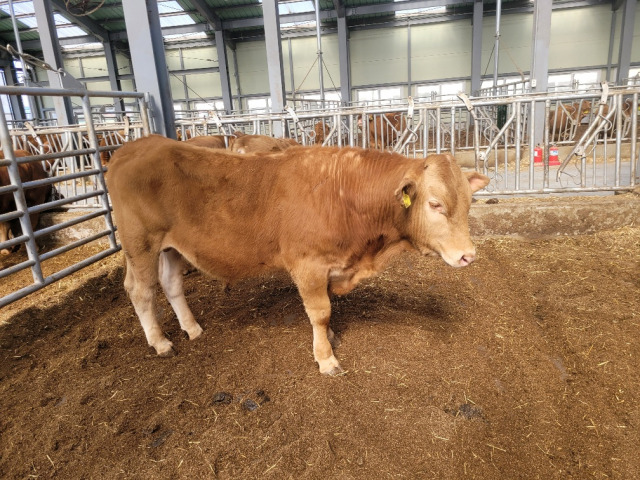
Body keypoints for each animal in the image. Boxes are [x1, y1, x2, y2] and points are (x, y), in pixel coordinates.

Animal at [107, 135, 490, 376]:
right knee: (140, 290)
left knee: (171, 284)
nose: (468, 256)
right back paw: (161, 342)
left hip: (172, 246)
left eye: (469, 202)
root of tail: (135, 146)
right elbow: (320, 312)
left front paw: (331, 338)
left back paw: (193, 328)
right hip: (140, 242)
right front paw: (326, 359)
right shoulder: (308, 266)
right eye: (435, 204)